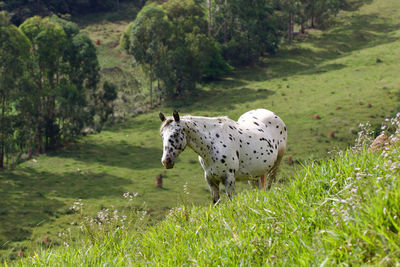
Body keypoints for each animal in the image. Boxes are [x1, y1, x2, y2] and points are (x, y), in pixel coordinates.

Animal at [158, 109, 286, 205]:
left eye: (175, 133)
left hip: (274, 166)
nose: (166, 161)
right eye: (162, 135)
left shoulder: (229, 178)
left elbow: (231, 200)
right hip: (255, 173)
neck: (213, 144)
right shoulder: (211, 179)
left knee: (269, 186)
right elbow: (216, 202)